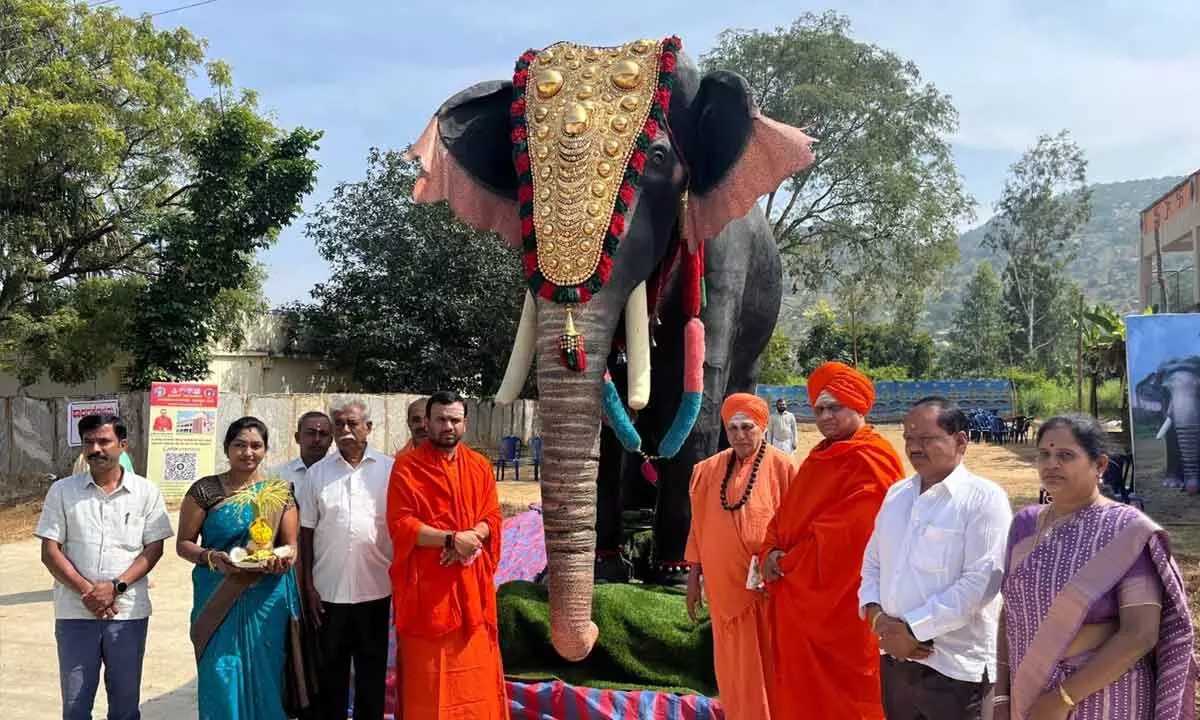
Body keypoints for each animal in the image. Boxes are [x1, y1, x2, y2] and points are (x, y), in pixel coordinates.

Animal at [405, 36, 816, 662]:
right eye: (520, 171)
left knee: (732, 389)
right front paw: (604, 574)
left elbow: (692, 390)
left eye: (662, 159)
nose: (590, 638)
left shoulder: (721, 255)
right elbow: (605, 413)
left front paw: (672, 581)